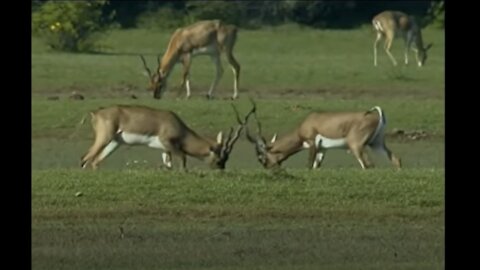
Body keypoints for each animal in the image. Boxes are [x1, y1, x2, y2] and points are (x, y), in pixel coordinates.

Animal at [79, 102, 255, 170]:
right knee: (86, 157)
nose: (221, 170)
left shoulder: (165, 150)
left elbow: (168, 166)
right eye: (219, 159)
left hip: (114, 143)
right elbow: (183, 159)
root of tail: (96, 113)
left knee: (95, 160)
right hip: (104, 138)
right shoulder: (170, 144)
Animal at [244, 100, 402, 170]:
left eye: (262, 158)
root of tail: (376, 115)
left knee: (368, 164)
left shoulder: (312, 143)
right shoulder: (323, 149)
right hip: (376, 144)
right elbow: (316, 166)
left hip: (356, 146)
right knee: (396, 159)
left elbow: (309, 165)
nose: (269, 168)